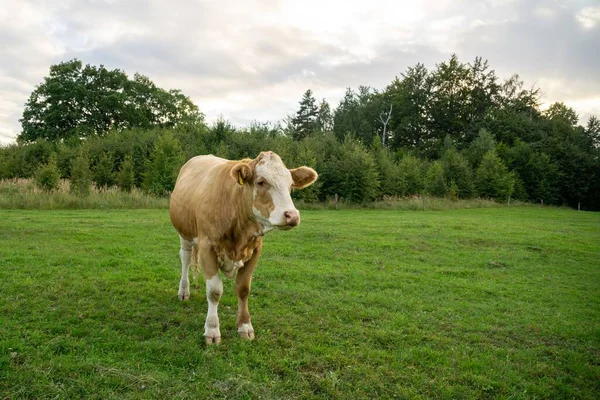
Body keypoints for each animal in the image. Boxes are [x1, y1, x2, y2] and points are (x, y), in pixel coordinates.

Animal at [169, 150, 318, 344]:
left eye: (291, 185)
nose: (292, 216)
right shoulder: (207, 247)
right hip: (184, 234)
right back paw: (183, 292)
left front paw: (245, 327)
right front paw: (212, 330)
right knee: (185, 259)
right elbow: (214, 291)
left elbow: (243, 289)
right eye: (261, 182)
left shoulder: (255, 250)